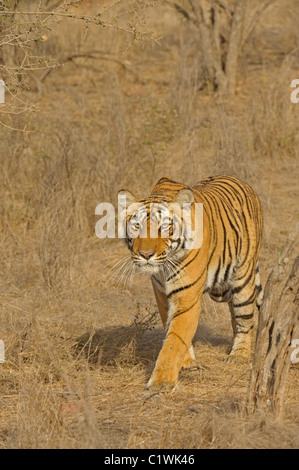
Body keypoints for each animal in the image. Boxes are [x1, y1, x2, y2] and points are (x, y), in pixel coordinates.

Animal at [118, 176, 264, 390]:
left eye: (164, 227)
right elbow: (173, 329)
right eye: (136, 226)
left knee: (245, 318)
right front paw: (186, 363)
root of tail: (242, 182)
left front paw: (161, 382)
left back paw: (239, 355)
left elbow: (175, 339)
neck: (164, 267)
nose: (145, 255)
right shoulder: (162, 295)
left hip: (243, 278)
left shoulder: (186, 295)